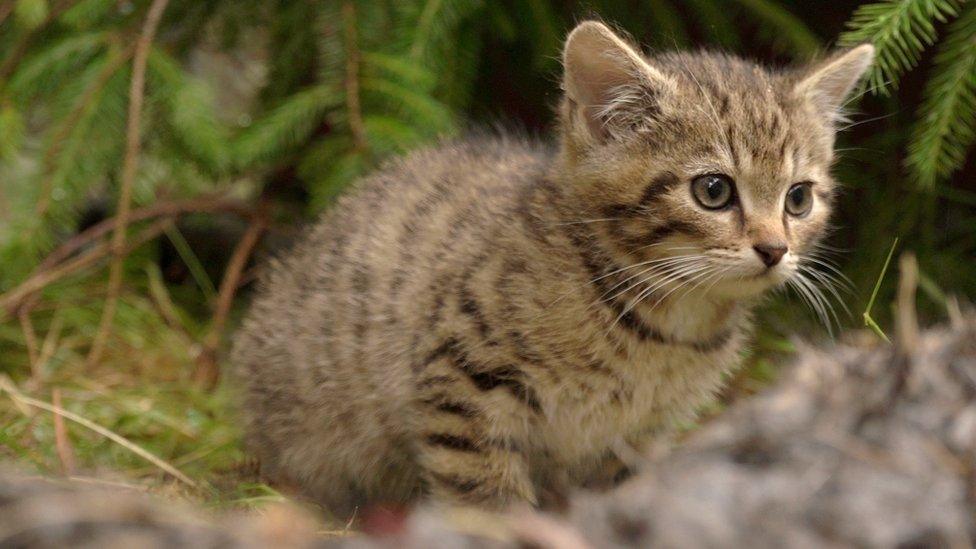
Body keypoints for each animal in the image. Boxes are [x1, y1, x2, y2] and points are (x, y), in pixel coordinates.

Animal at [233, 18, 872, 512]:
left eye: (798, 199)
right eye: (713, 191)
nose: (774, 249)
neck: (660, 325)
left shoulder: (634, 436)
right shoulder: (461, 378)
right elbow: (485, 495)